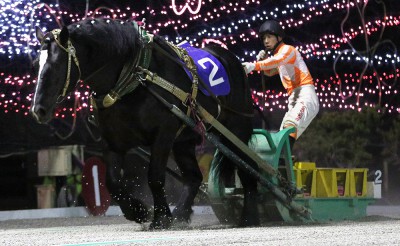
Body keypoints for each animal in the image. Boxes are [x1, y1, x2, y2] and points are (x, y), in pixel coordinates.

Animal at [29, 17, 258, 229]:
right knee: (194, 177)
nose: (39, 109)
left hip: (236, 131)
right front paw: (139, 211)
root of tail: (230, 59)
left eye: (57, 64)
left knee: (249, 168)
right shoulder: (113, 142)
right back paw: (181, 214)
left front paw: (161, 217)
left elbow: (154, 177)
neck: (134, 79)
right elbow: (112, 182)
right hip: (184, 141)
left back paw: (250, 216)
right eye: (36, 65)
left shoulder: (163, 135)